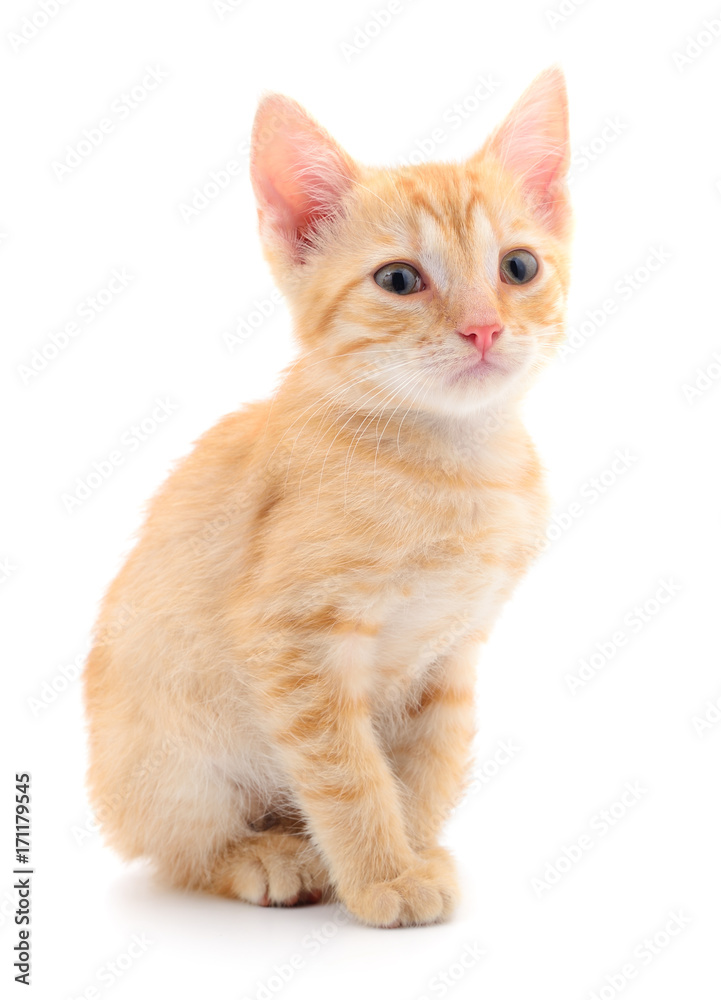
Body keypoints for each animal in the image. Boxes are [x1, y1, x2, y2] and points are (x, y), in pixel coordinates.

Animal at [81, 68, 572, 928]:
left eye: (517, 268)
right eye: (399, 280)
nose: (483, 329)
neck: (454, 466)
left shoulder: (451, 651)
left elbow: (423, 768)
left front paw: (412, 851)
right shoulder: (294, 640)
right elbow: (349, 773)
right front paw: (382, 875)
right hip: (172, 754)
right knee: (178, 851)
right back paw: (264, 855)